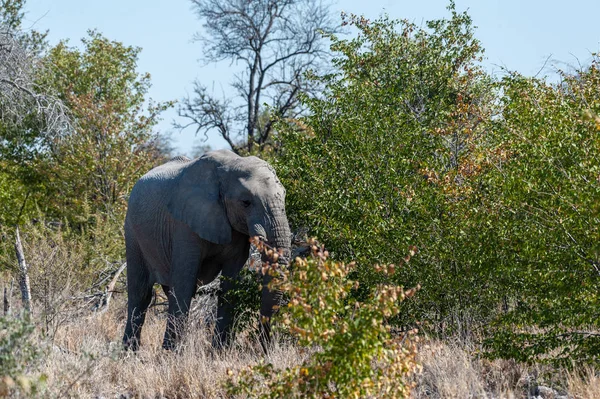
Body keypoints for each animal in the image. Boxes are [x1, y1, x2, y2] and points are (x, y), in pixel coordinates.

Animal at [122, 150, 290, 354]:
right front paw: (171, 355)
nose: (266, 350)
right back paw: (128, 353)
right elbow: (184, 284)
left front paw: (219, 353)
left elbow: (230, 285)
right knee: (140, 293)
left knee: (167, 292)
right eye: (246, 202)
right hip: (132, 232)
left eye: (284, 196)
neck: (232, 164)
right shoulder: (185, 224)